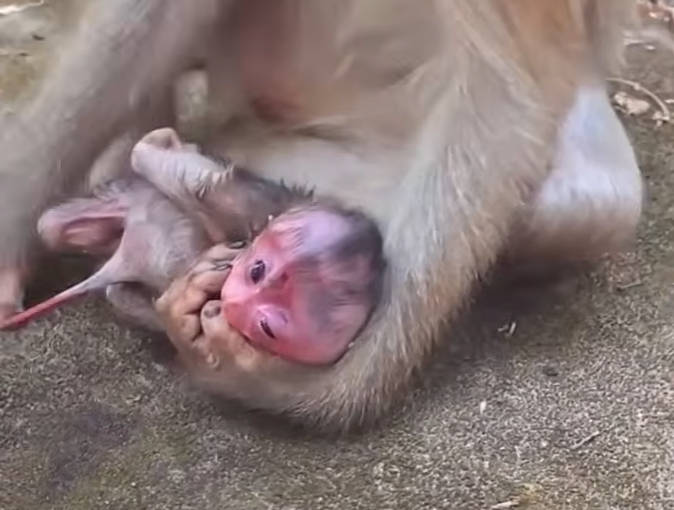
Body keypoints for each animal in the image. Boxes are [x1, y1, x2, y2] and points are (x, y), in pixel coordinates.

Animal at [0, 128, 386, 367]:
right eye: (257, 270)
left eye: (266, 327)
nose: (235, 302)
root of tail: (123, 259)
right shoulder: (249, 209)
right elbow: (204, 191)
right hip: (135, 197)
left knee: (69, 244)